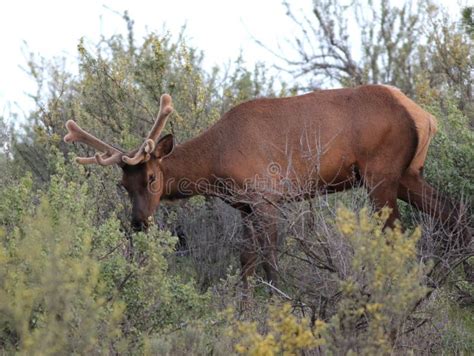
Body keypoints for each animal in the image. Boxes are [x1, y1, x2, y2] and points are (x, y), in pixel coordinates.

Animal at [65, 85, 468, 286]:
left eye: (151, 178)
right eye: (123, 184)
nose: (138, 222)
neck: (217, 164)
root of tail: (424, 115)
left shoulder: (266, 196)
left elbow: (270, 260)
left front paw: (282, 300)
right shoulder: (244, 205)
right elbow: (245, 261)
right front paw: (243, 307)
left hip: (380, 173)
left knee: (397, 233)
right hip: (406, 175)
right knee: (454, 213)